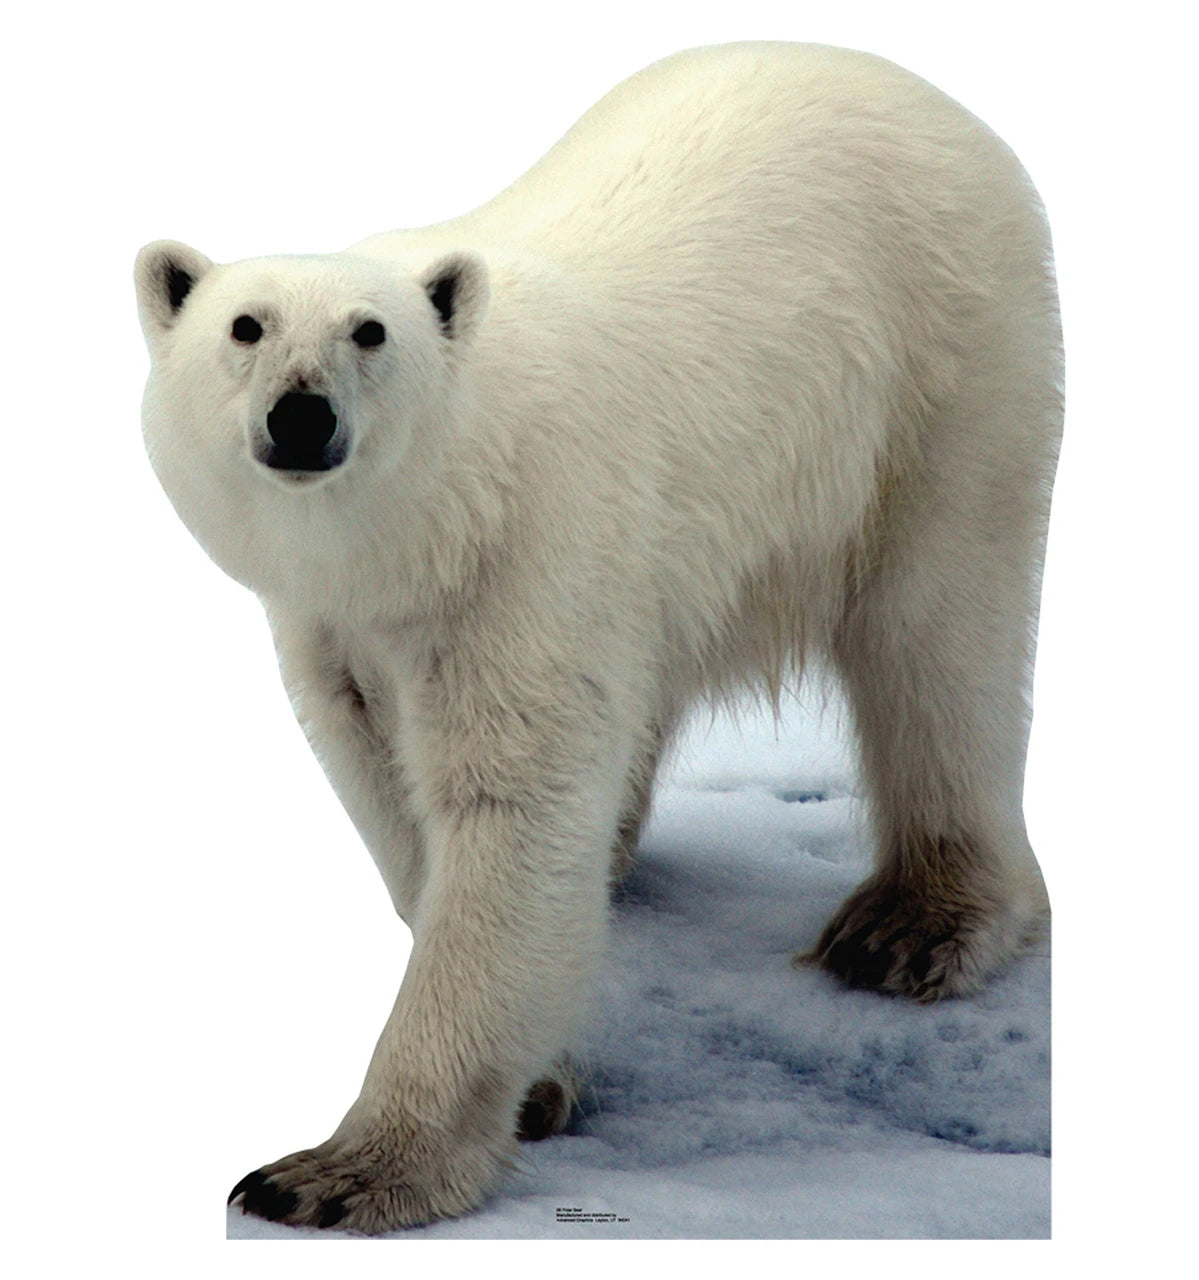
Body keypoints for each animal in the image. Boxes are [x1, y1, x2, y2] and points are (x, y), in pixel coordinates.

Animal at [135, 41, 1062, 1233]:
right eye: (244, 326)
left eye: (369, 331)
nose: (302, 416)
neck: (428, 530)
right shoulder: (336, 626)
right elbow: (396, 790)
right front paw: (536, 1073)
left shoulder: (528, 554)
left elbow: (510, 811)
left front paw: (335, 1172)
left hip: (946, 368)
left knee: (937, 638)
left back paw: (909, 924)